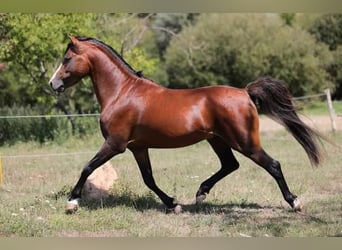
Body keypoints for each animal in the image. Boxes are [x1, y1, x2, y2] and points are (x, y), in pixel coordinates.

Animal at [49, 36, 322, 214]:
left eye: (66, 59)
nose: (52, 84)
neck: (122, 93)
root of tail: (245, 93)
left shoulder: (115, 144)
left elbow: (87, 167)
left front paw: (72, 202)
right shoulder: (138, 148)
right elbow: (148, 179)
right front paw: (173, 204)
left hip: (245, 142)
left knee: (273, 165)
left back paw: (294, 202)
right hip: (217, 139)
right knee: (230, 165)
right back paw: (201, 193)